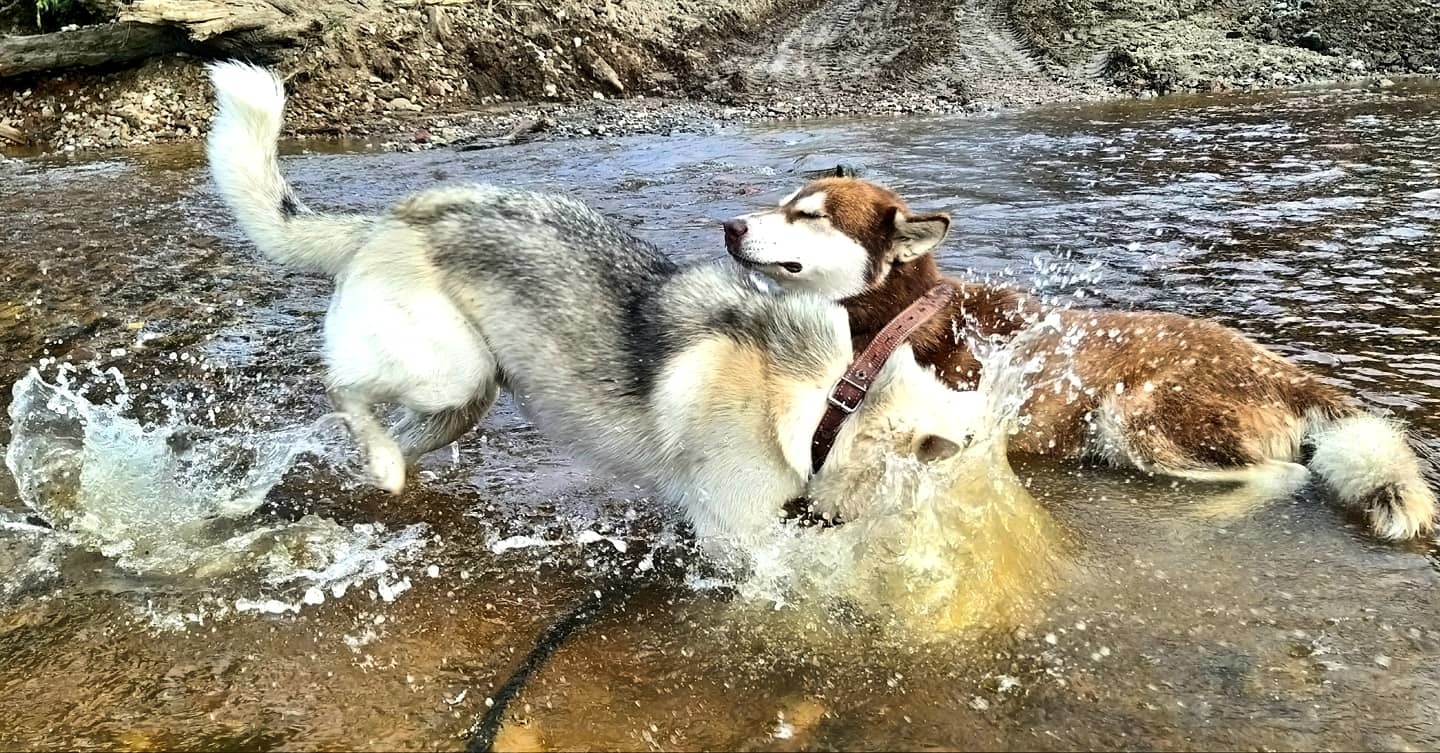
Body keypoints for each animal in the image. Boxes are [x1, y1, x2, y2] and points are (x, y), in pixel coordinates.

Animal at [205, 63, 990, 547]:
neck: (831, 396)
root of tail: (390, 219)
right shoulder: (735, 532)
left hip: (467, 397)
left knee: (390, 430)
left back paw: (384, 469)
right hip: (448, 370)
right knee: (341, 386)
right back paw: (381, 461)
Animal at [725, 177, 1434, 541]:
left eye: (809, 215)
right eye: (785, 204)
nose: (730, 227)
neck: (896, 314)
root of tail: (1277, 368)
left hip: (1134, 418)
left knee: (1281, 477)